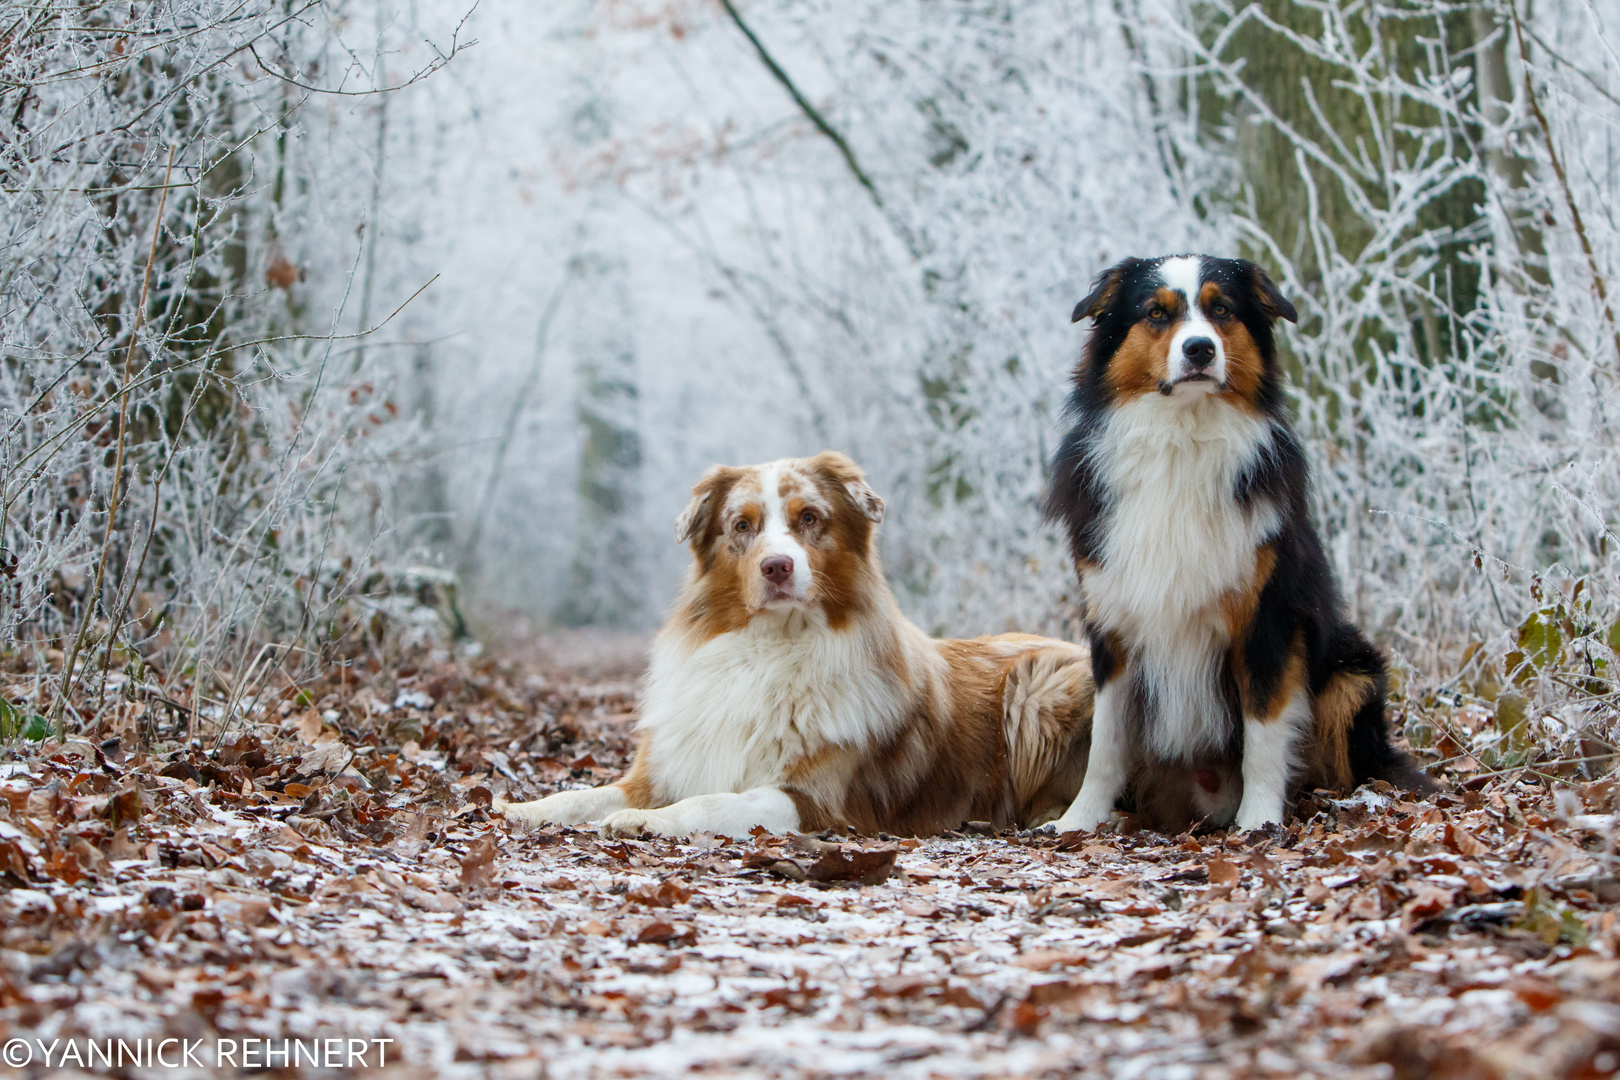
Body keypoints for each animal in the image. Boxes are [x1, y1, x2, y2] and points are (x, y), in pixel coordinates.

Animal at [498, 453, 1095, 841]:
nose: (777, 566)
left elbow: (713, 801)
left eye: (809, 518)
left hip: (1038, 686)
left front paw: (647, 821)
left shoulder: (815, 799)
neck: (767, 649)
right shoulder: (661, 770)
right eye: (742, 526)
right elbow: (585, 794)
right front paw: (524, 808)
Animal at [1043, 255, 1425, 835]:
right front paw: (1078, 821)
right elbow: (1106, 740)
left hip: (1351, 672)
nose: (1200, 349)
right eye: (1156, 313)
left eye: (1221, 309)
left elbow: (1264, 731)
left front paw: (1259, 821)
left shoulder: (1266, 617)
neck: (1182, 439)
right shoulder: (1113, 622)